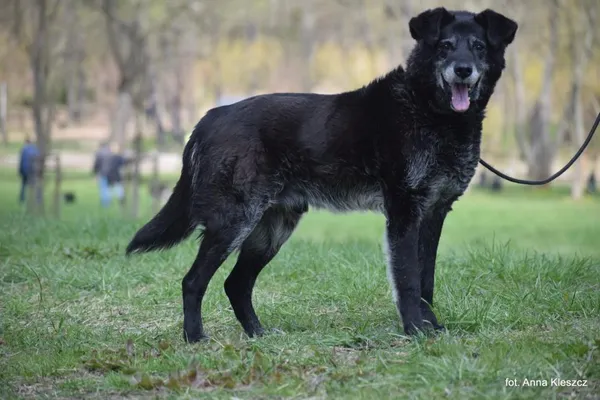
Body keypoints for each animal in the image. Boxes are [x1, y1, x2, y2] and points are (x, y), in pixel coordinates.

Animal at [126, 7, 516, 342]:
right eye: (445, 46)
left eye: (479, 47)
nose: (462, 70)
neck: (429, 110)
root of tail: (209, 118)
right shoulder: (404, 213)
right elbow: (407, 279)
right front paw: (415, 330)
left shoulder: (434, 213)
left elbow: (426, 280)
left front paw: (431, 325)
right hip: (233, 222)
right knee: (193, 282)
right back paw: (195, 338)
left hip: (271, 229)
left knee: (235, 284)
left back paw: (257, 334)